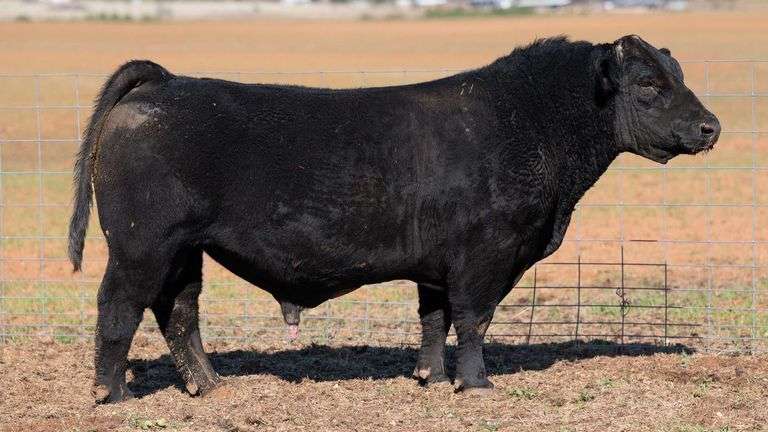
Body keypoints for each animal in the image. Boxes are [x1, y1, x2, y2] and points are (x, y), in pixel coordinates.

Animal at [68, 35, 719, 403]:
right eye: (647, 84)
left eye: (679, 76)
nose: (709, 126)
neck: (530, 122)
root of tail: (165, 81)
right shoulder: (485, 254)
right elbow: (474, 320)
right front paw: (475, 385)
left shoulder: (437, 265)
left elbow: (434, 320)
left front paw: (428, 376)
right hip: (141, 247)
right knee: (118, 309)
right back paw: (112, 394)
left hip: (184, 252)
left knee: (179, 311)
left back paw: (207, 385)